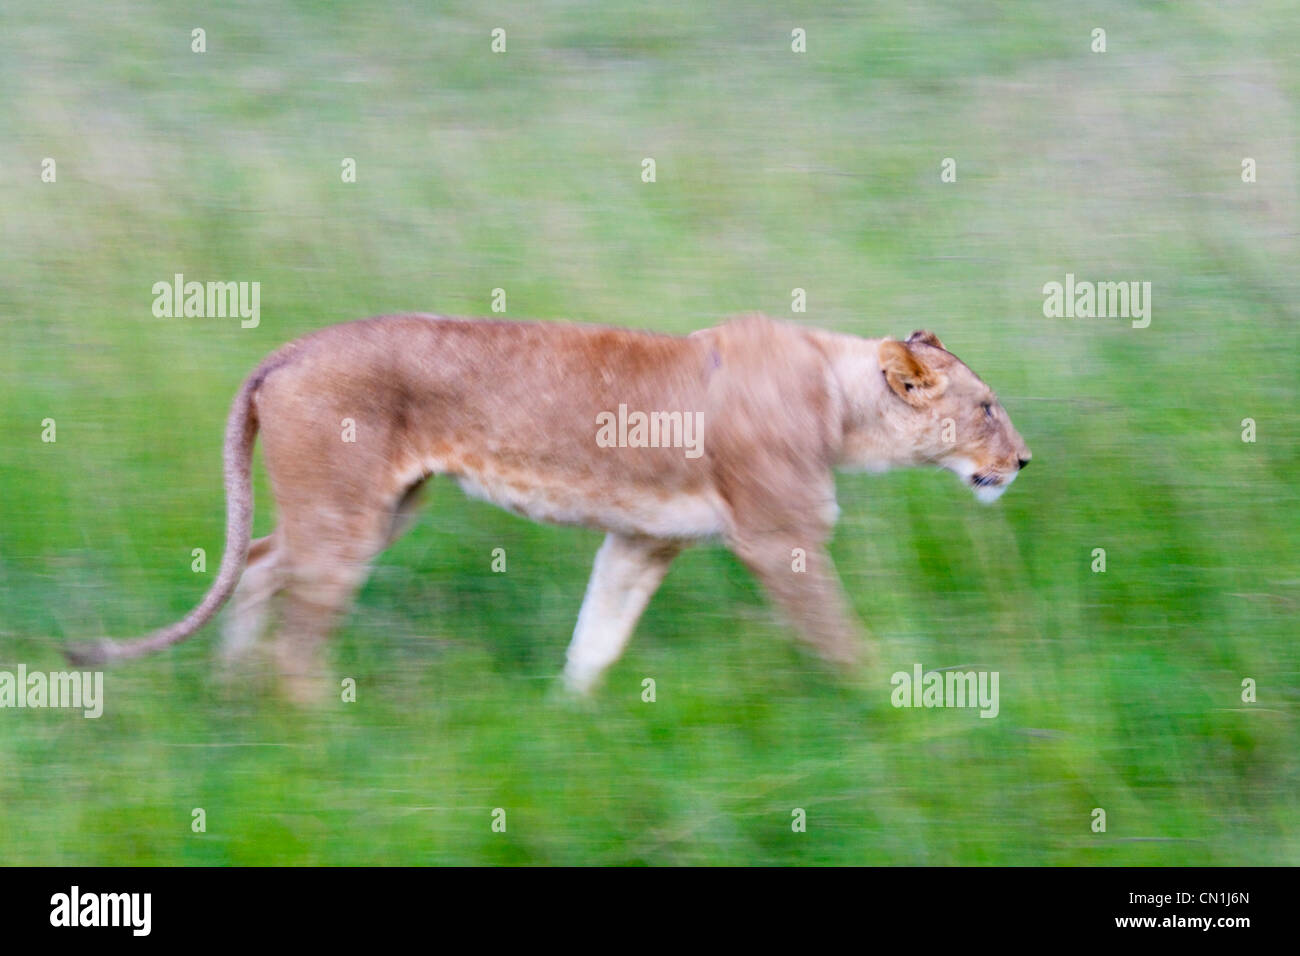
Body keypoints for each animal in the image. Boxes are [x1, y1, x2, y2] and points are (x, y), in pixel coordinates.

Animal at [64, 314, 1031, 699]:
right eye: (987, 406)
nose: (1023, 460)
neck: (840, 403)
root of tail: (289, 346)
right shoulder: (778, 540)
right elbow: (842, 642)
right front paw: (896, 710)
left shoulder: (641, 542)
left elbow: (597, 637)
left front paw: (568, 718)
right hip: (347, 518)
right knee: (299, 635)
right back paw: (309, 736)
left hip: (383, 507)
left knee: (264, 564)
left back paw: (230, 697)